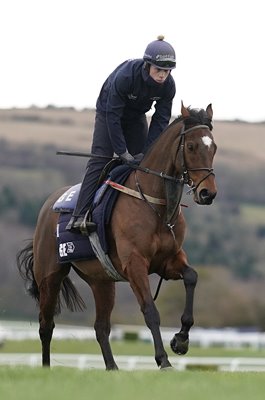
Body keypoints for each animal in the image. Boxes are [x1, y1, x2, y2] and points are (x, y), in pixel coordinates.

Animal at [16, 101, 217, 370]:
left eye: (214, 147)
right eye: (192, 146)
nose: (208, 193)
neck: (156, 203)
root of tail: (48, 204)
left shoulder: (167, 261)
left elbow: (192, 277)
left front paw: (181, 340)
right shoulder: (135, 264)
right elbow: (150, 310)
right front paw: (163, 359)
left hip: (101, 280)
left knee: (101, 327)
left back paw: (113, 368)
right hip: (50, 274)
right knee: (46, 325)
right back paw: (47, 369)